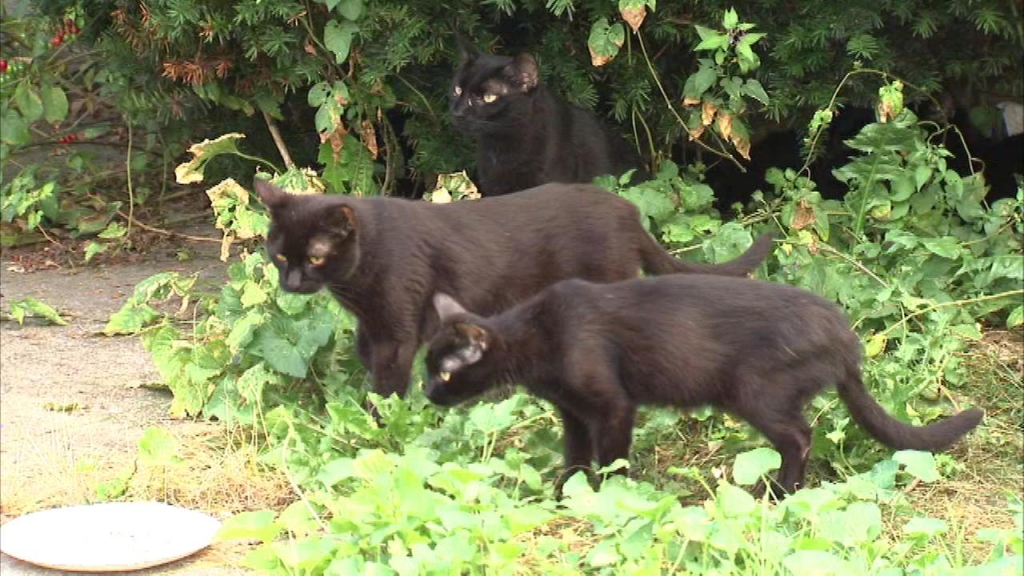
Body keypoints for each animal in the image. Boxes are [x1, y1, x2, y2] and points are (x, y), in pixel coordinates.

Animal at [253, 179, 770, 403]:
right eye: (279, 255)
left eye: (315, 257)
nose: (292, 282)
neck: (355, 284)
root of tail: (627, 210)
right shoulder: (372, 328)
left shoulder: (396, 333)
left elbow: (386, 384)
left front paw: (382, 427)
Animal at [423, 272, 983, 494]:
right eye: (427, 370)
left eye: (446, 372)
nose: (426, 394)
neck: (538, 338)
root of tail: (844, 336)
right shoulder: (572, 413)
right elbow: (575, 456)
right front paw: (568, 492)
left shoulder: (613, 406)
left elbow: (612, 457)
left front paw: (610, 495)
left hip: (754, 391)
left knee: (800, 436)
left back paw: (777, 493)